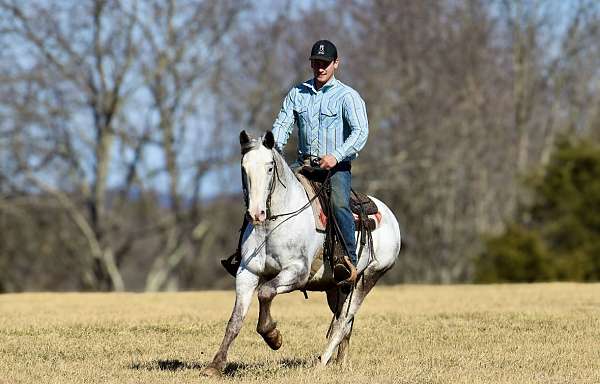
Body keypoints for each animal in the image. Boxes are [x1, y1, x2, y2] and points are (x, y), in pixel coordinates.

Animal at [202, 130, 404, 376]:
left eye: (270, 167)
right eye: (243, 167)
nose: (256, 213)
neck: (272, 223)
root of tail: (390, 215)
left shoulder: (296, 272)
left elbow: (265, 292)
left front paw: (273, 336)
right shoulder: (247, 272)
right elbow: (235, 320)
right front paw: (215, 365)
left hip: (368, 278)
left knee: (342, 322)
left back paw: (321, 362)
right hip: (337, 287)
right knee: (345, 321)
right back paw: (340, 363)